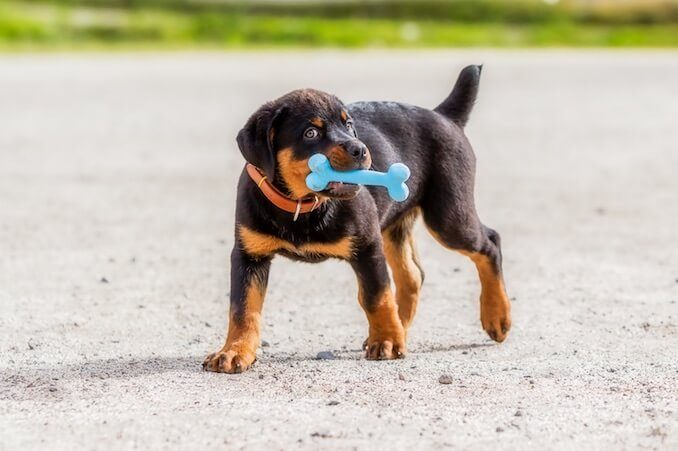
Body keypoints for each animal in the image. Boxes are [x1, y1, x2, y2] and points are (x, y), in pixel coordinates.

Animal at [205, 64, 512, 374]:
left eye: (349, 125)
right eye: (310, 133)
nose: (361, 149)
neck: (302, 205)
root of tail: (444, 115)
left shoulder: (367, 245)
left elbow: (377, 295)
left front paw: (387, 341)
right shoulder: (249, 255)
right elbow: (243, 309)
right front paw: (234, 351)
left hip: (448, 217)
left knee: (490, 243)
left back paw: (496, 316)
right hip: (395, 226)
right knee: (413, 276)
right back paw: (404, 327)